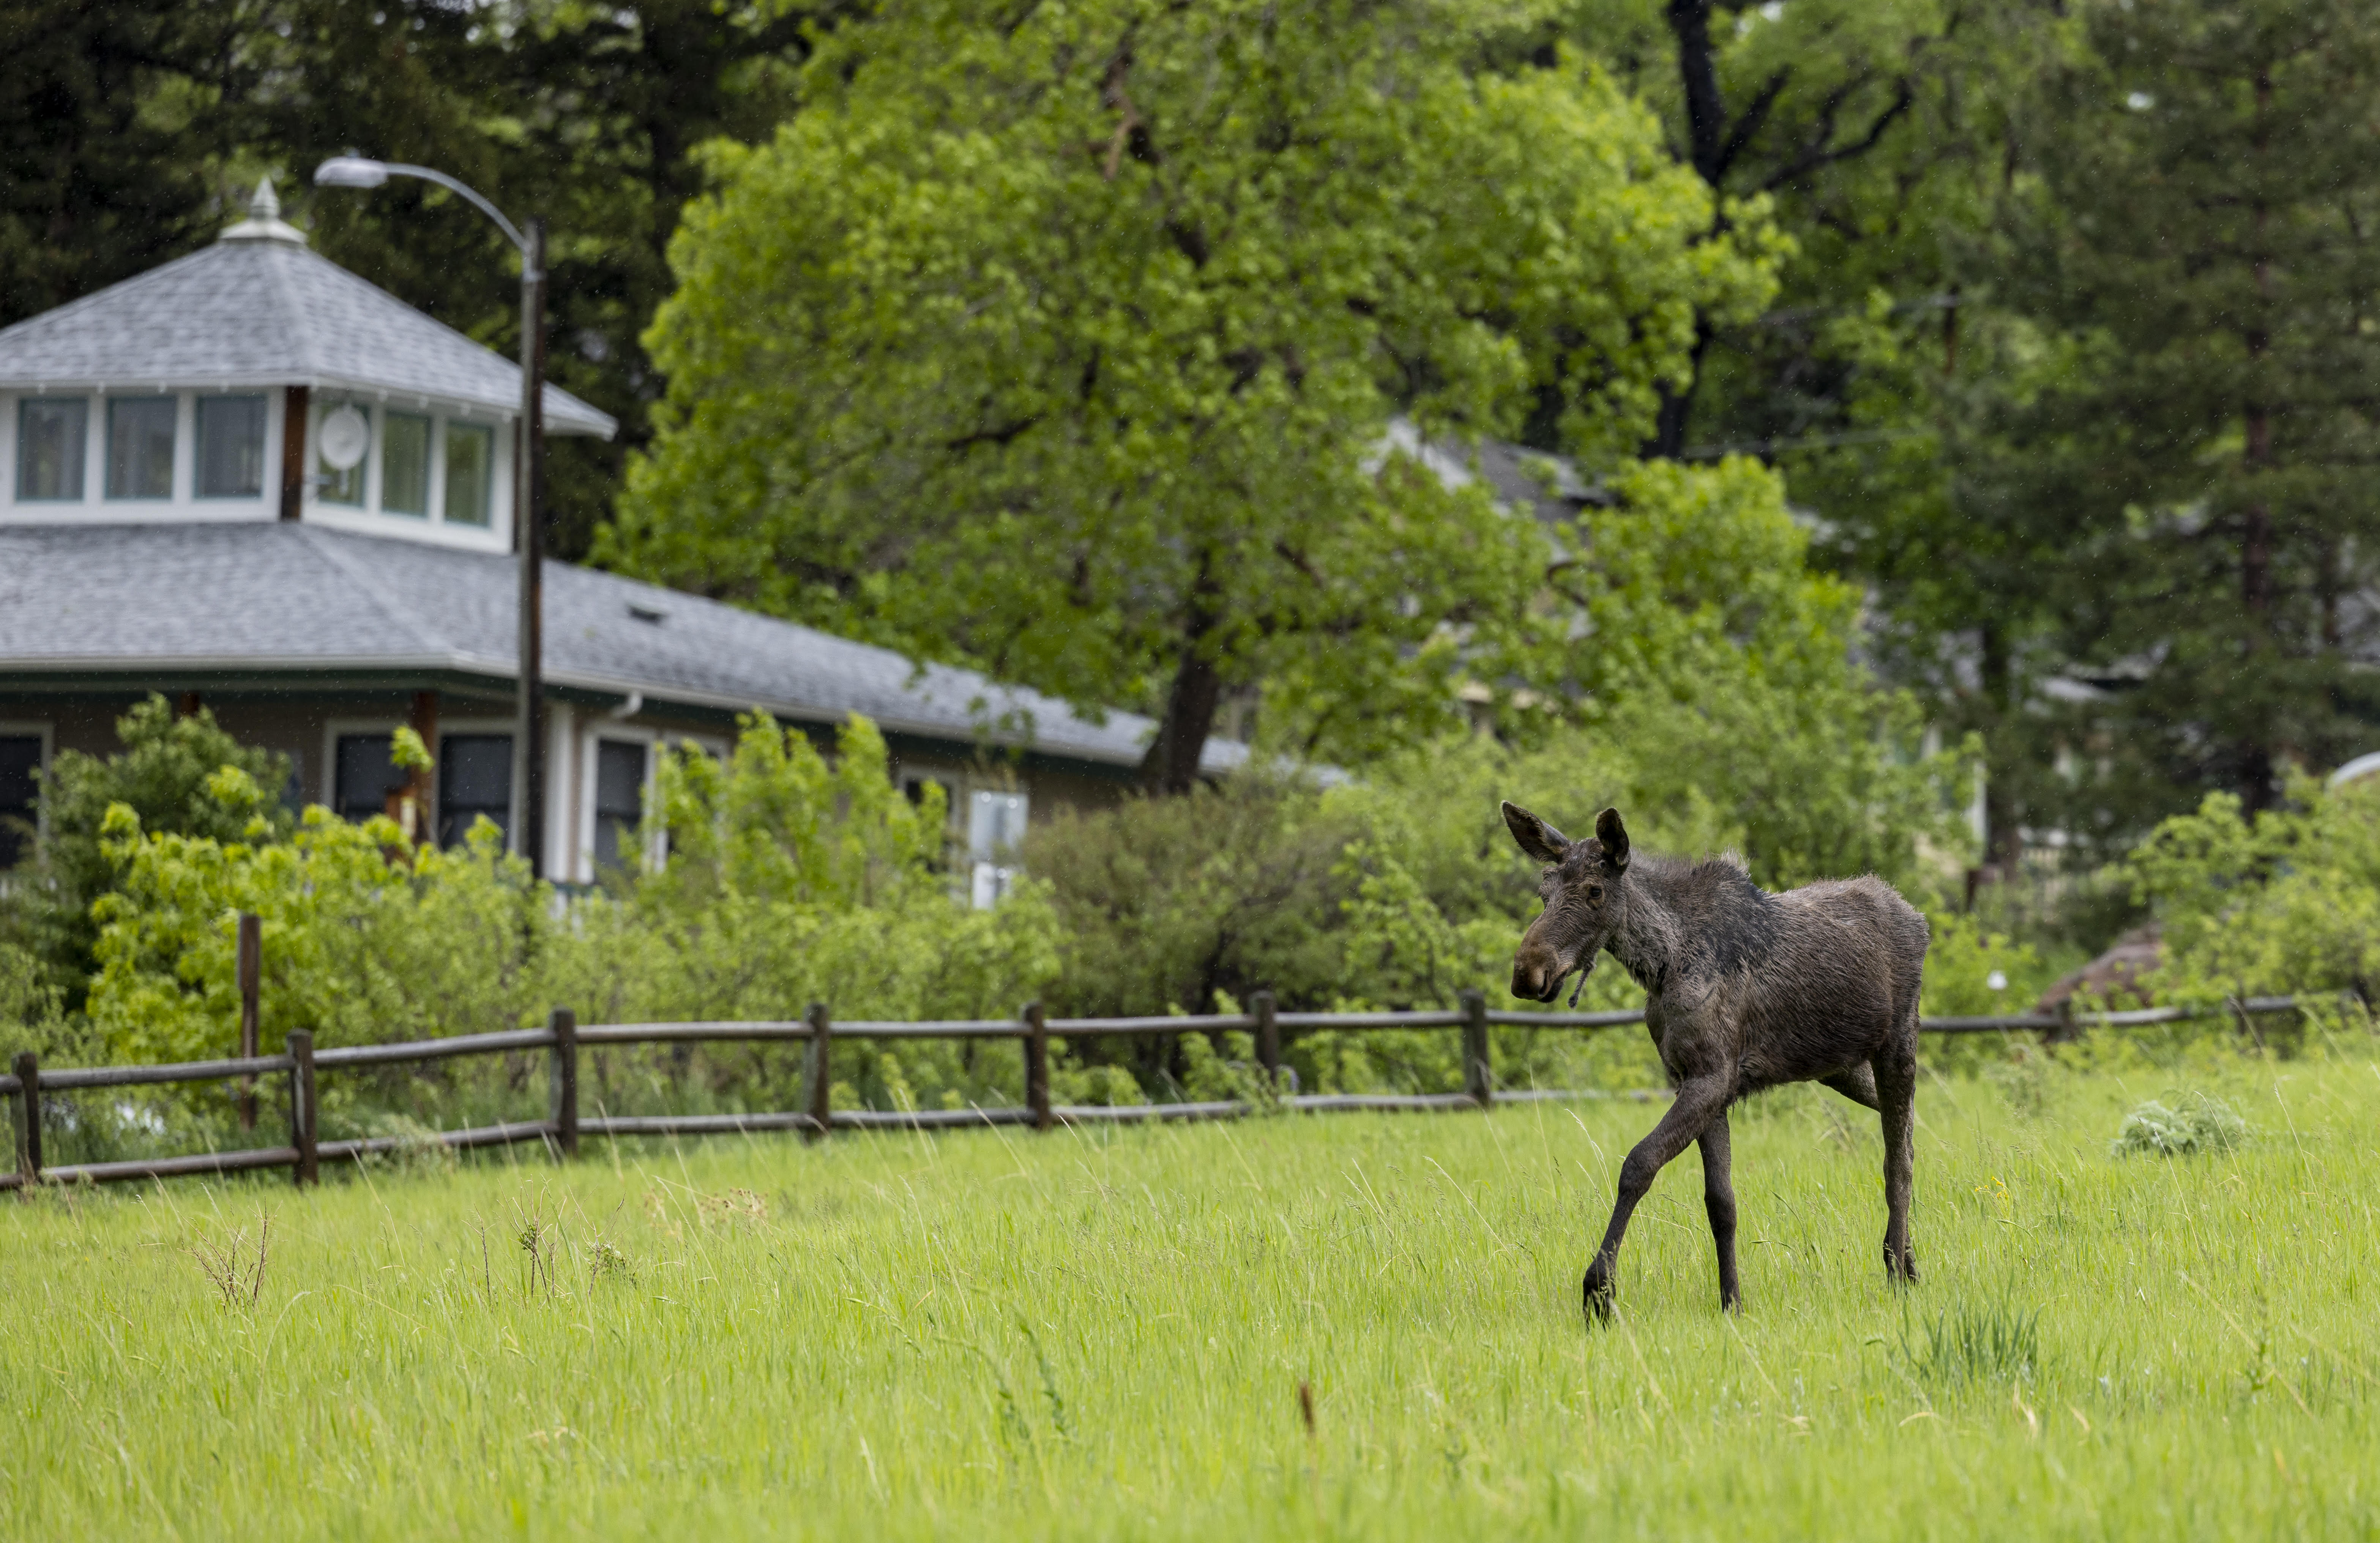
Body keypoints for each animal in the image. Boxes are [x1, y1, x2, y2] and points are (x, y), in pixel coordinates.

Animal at [1500, 802, 1930, 1320]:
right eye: (1543, 891)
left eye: (1594, 890)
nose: (1527, 972)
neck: (1661, 962)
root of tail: (1917, 917)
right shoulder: (1696, 1081)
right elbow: (1720, 1201)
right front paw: (1731, 1300)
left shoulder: (1711, 1076)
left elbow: (1638, 1164)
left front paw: (1599, 1288)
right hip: (1843, 1069)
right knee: (1908, 1136)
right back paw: (1910, 1261)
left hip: (1897, 1048)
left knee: (1898, 1160)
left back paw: (1896, 1268)